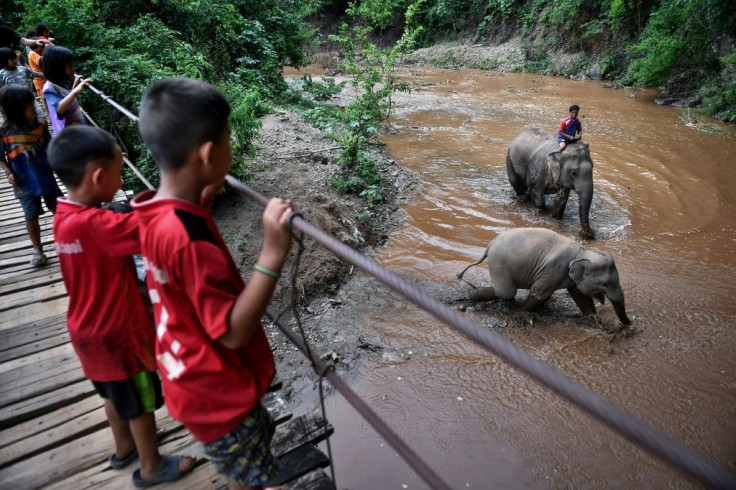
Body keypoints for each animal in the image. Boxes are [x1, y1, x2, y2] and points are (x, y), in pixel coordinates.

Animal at [458, 229, 628, 330]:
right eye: (605, 284)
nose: (630, 325)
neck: (581, 251)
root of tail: (489, 245)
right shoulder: (553, 270)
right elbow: (540, 294)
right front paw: (521, 313)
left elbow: (580, 295)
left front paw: (594, 320)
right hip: (499, 264)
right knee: (505, 292)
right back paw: (469, 295)